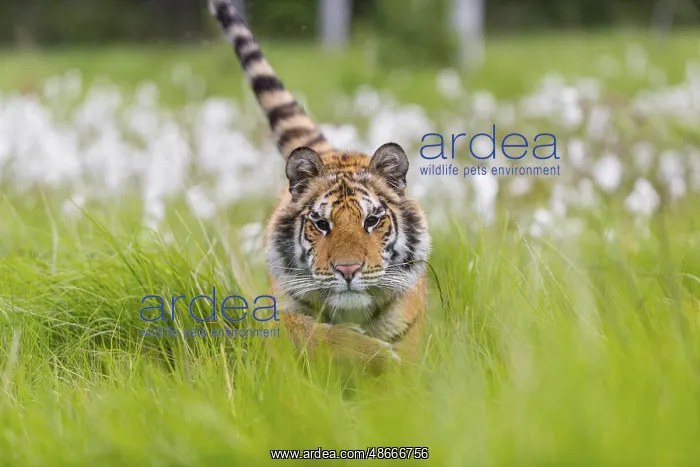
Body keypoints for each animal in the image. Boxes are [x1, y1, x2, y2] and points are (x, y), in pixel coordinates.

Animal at [209, 0, 431, 370]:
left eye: (372, 221)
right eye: (321, 224)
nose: (348, 270)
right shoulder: (275, 314)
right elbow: (312, 332)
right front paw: (375, 356)